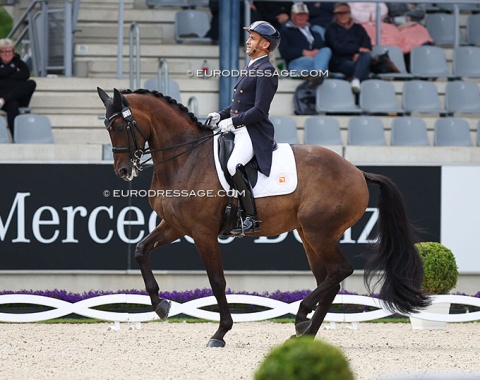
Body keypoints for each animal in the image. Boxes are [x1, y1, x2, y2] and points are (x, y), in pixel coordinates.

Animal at [95, 88, 430, 348]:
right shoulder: (176, 226)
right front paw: (161, 305)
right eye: (107, 127)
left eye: (120, 126)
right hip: (310, 237)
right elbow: (141, 251)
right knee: (330, 280)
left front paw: (220, 332)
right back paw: (306, 332)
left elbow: (217, 281)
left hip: (319, 233)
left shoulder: (202, 233)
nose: (123, 171)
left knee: (340, 271)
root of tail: (358, 172)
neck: (186, 158)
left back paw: (301, 316)